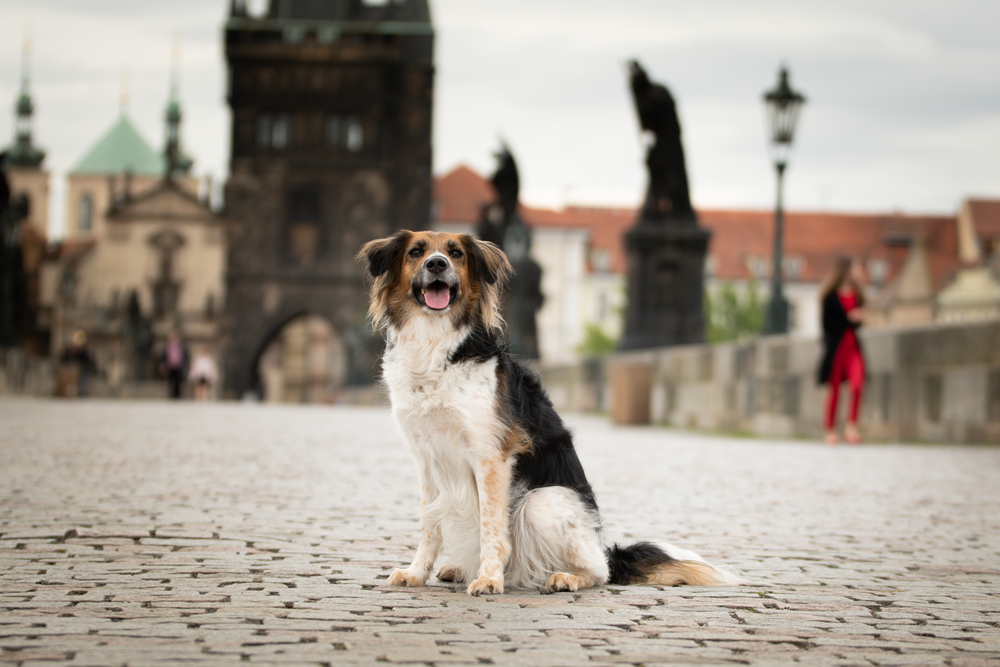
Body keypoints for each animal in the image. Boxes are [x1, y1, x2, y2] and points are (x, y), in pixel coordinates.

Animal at [360, 232, 736, 596]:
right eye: (416, 251)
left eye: (456, 254)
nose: (436, 264)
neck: (433, 343)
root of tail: (608, 550)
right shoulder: (427, 458)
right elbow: (429, 524)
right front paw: (416, 573)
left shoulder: (490, 456)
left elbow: (491, 528)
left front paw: (489, 580)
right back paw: (461, 569)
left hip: (545, 500)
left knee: (599, 571)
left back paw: (564, 578)